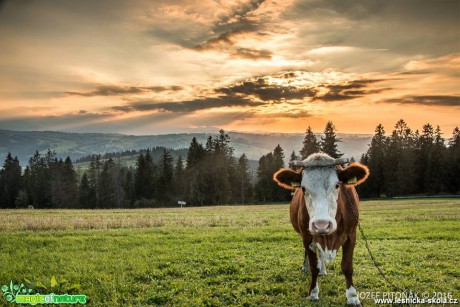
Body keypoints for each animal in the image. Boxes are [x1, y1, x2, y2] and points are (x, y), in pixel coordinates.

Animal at [274, 153, 368, 306]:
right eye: (303, 188)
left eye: (337, 185)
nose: (321, 224)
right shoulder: (307, 236)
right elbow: (314, 266)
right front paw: (313, 293)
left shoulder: (351, 235)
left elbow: (347, 267)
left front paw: (353, 296)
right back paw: (306, 267)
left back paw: (324, 270)